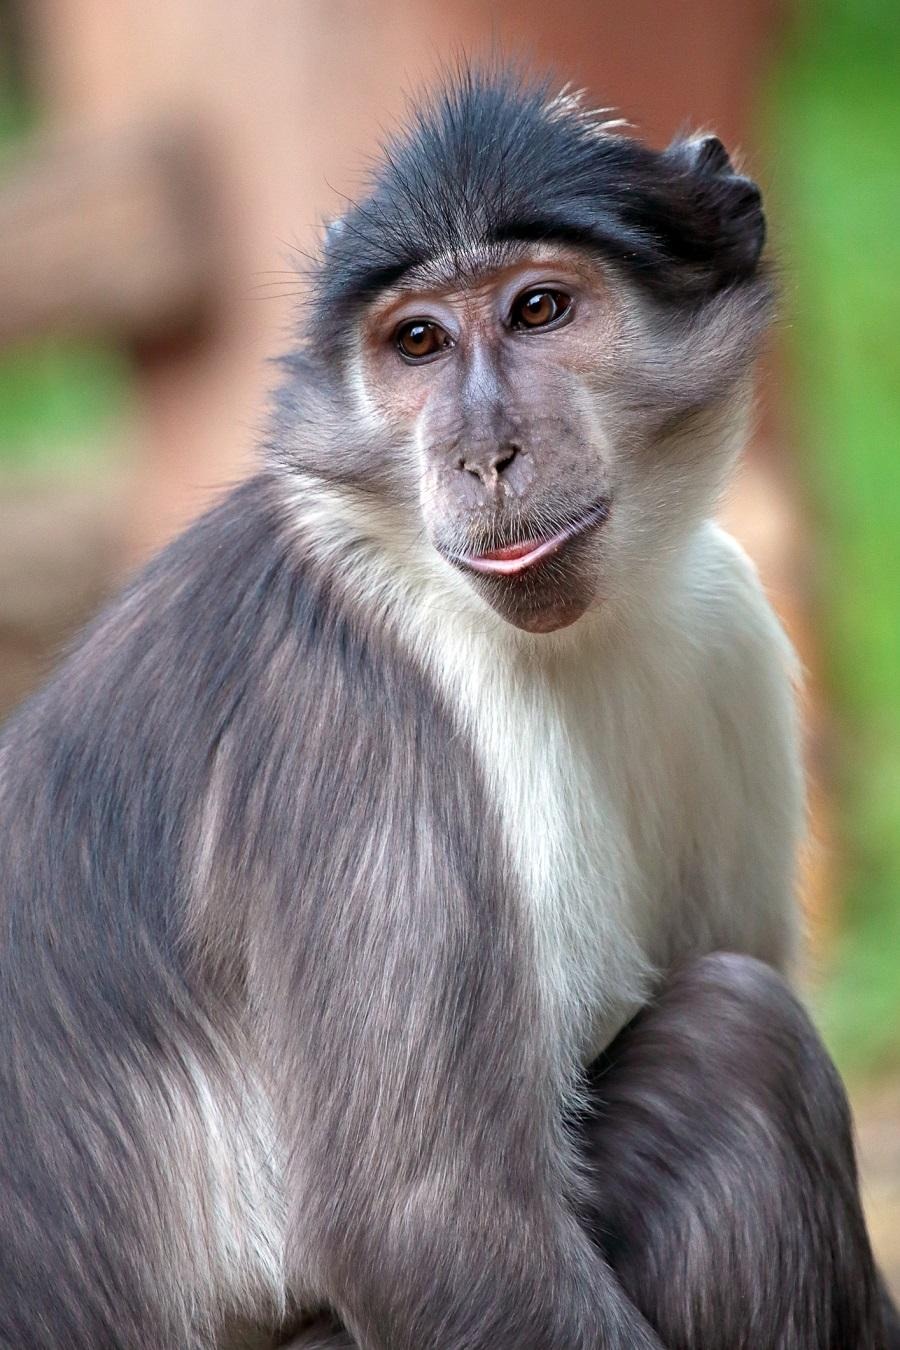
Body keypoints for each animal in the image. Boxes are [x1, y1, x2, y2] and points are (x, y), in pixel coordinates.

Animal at [0, 68, 896, 1349]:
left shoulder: (722, 624)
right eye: (418, 341)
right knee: (738, 1039)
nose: (483, 452)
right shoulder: (349, 714)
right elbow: (431, 1230)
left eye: (538, 310)